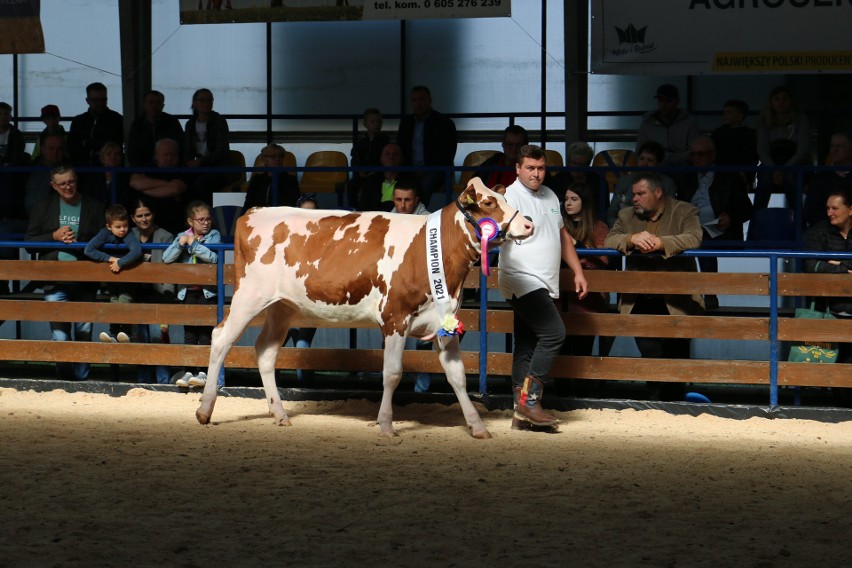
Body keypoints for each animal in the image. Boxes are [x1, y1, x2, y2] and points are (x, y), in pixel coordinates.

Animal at [196, 178, 536, 440]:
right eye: (489, 203)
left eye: (504, 198)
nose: (528, 224)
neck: (431, 250)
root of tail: (256, 211)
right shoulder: (395, 318)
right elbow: (392, 374)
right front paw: (386, 425)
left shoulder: (445, 322)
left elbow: (458, 376)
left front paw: (477, 427)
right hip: (249, 296)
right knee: (221, 338)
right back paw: (205, 408)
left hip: (283, 308)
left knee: (265, 351)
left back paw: (279, 413)